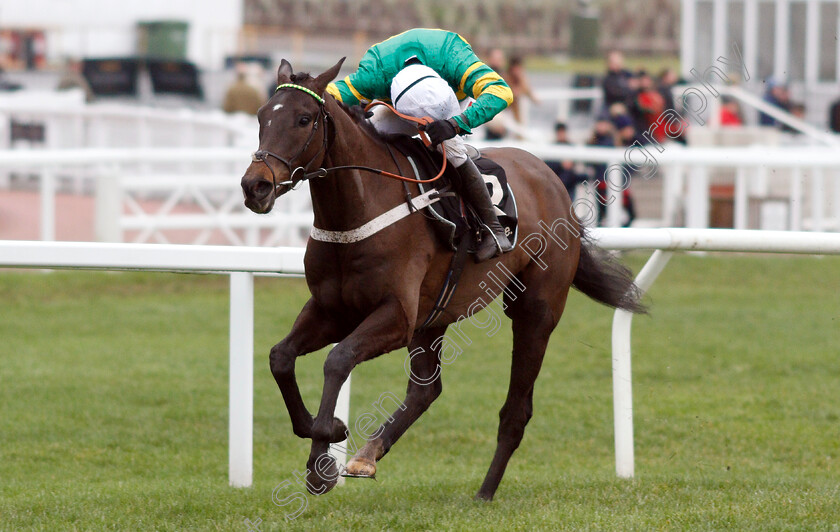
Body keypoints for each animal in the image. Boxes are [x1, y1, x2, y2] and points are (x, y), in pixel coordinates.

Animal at [240, 60, 648, 500]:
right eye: (261, 117)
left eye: (304, 119)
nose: (255, 185)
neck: (358, 211)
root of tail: (552, 178)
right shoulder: (333, 309)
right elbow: (280, 357)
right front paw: (325, 432)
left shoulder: (397, 316)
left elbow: (338, 360)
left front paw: (321, 460)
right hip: (434, 314)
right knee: (425, 391)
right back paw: (368, 454)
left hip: (535, 310)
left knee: (516, 409)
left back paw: (485, 491)